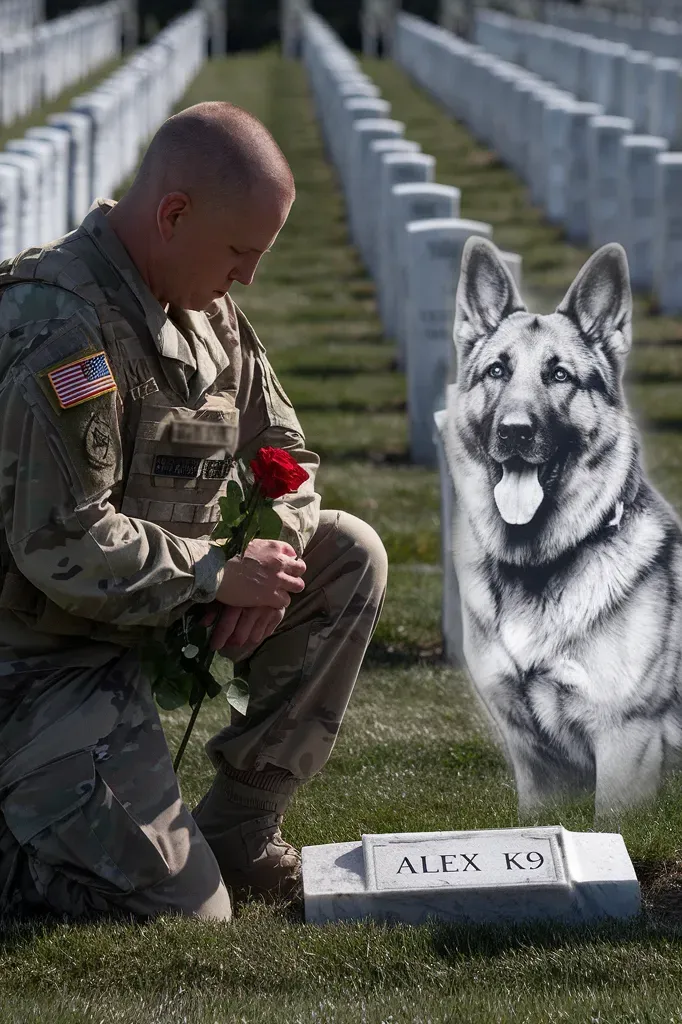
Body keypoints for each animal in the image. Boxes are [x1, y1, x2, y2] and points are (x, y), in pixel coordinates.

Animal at [440, 237, 679, 815]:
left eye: (560, 376)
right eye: (497, 371)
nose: (516, 432)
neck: (537, 564)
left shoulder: (626, 746)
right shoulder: (534, 762)